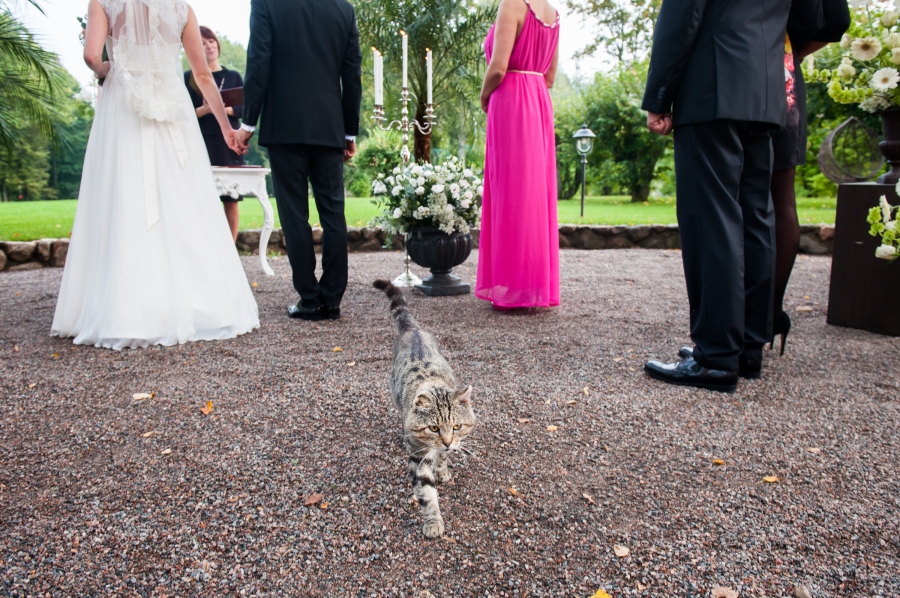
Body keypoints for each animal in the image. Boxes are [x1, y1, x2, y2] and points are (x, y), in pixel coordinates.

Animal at [373, 279, 476, 538]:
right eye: (433, 428)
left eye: (457, 426)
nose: (447, 442)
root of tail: (413, 329)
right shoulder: (418, 457)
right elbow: (426, 492)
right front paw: (433, 521)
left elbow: (442, 458)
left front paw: (442, 470)